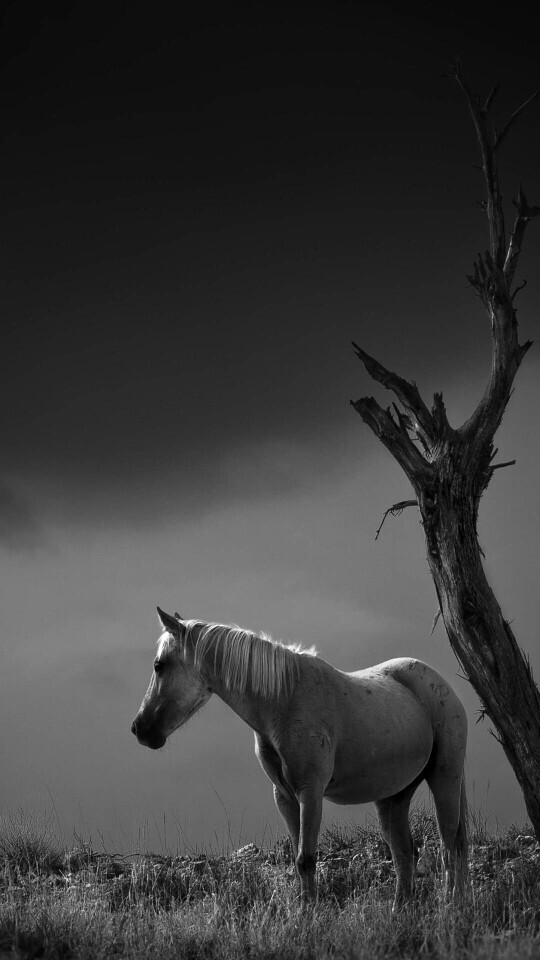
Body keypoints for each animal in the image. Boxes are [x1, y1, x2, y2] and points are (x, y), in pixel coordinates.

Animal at [131, 607, 468, 906]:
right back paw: (401, 911)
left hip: (445, 779)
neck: (285, 700)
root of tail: (438, 683)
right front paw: (302, 912)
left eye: (159, 665)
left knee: (450, 848)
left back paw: (450, 907)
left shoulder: (310, 793)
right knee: (405, 854)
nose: (140, 729)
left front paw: (309, 916)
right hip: (393, 797)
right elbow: (297, 861)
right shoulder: (285, 797)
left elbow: (306, 859)